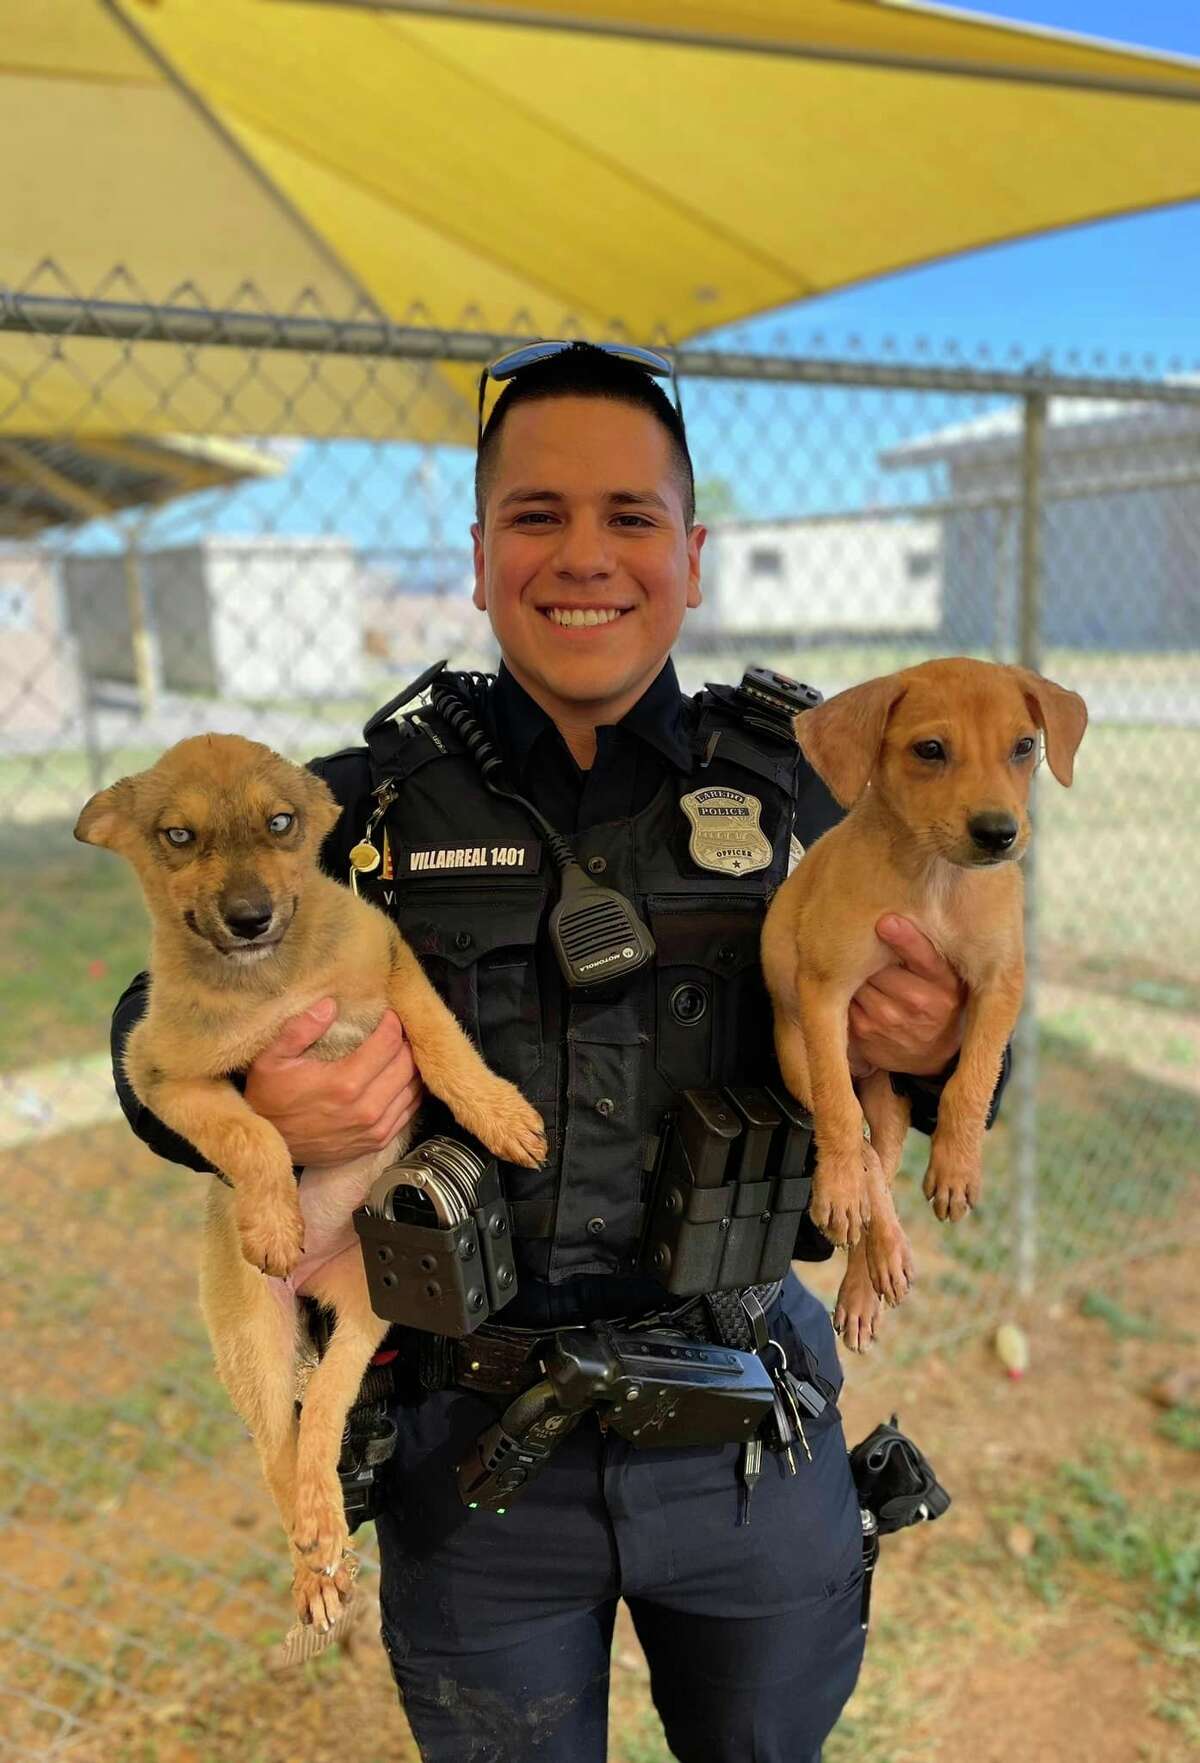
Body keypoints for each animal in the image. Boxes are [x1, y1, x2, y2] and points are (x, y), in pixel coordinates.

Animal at [74, 736, 542, 1643]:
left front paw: (499, 1114)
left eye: (282, 823)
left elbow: (445, 1046)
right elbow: (250, 1133)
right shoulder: (158, 1071)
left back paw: (325, 1523)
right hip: (252, 1344)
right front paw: (270, 1221)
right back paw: (314, 1555)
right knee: (278, 1454)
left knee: (322, 1416)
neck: (271, 982)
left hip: (366, 1313)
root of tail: (317, 1283)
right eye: (178, 836)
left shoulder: (394, 967)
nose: (249, 916)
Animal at [761, 659, 1092, 1346]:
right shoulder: (825, 992)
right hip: (797, 1060)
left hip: (891, 1098)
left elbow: (972, 1078)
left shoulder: (1001, 983)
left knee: (882, 1161)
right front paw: (838, 1186)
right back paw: (866, 1225)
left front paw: (957, 1170)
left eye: (1024, 746)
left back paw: (869, 1279)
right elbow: (838, 1114)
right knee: (860, 1150)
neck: (935, 882)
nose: (998, 834)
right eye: (930, 750)